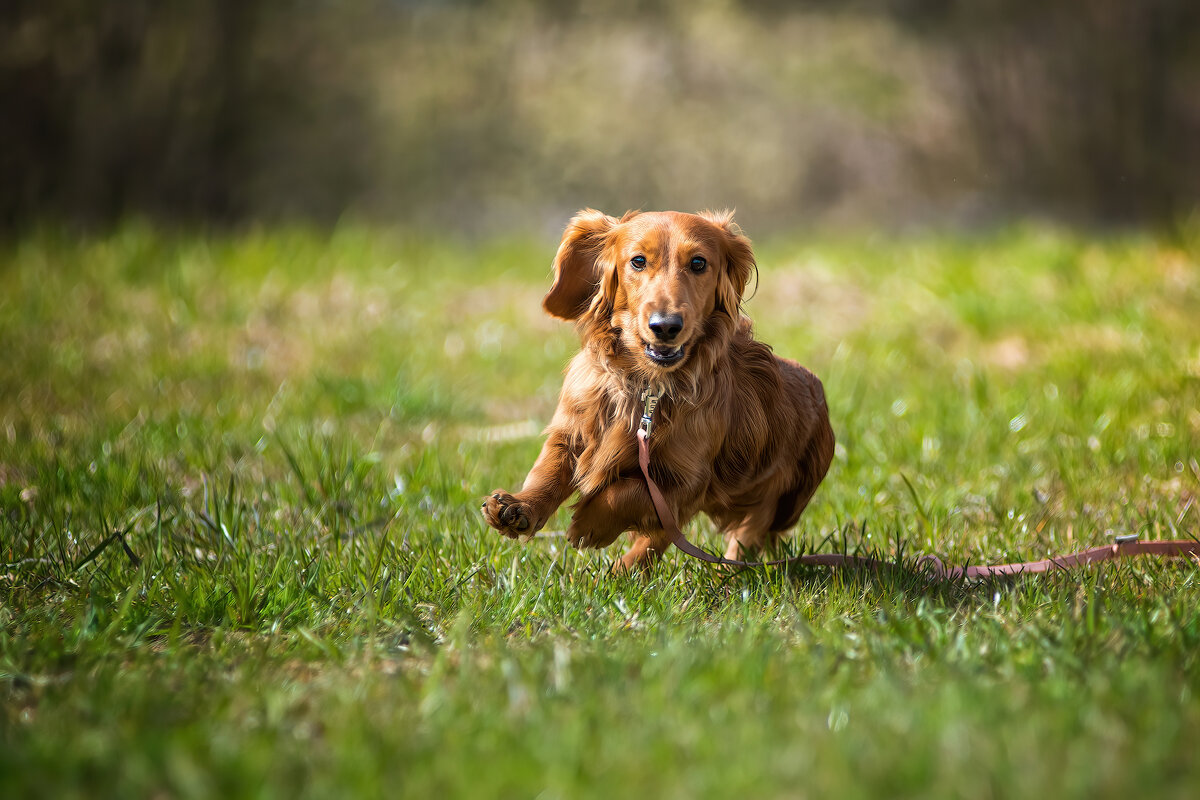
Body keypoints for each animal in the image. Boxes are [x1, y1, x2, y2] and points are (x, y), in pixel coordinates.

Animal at [480, 208, 835, 568]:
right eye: (638, 261)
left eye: (698, 263)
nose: (665, 326)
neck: (647, 384)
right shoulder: (573, 429)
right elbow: (548, 470)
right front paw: (518, 507)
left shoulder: (686, 481)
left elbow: (629, 493)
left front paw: (589, 523)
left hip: (779, 502)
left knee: (737, 537)